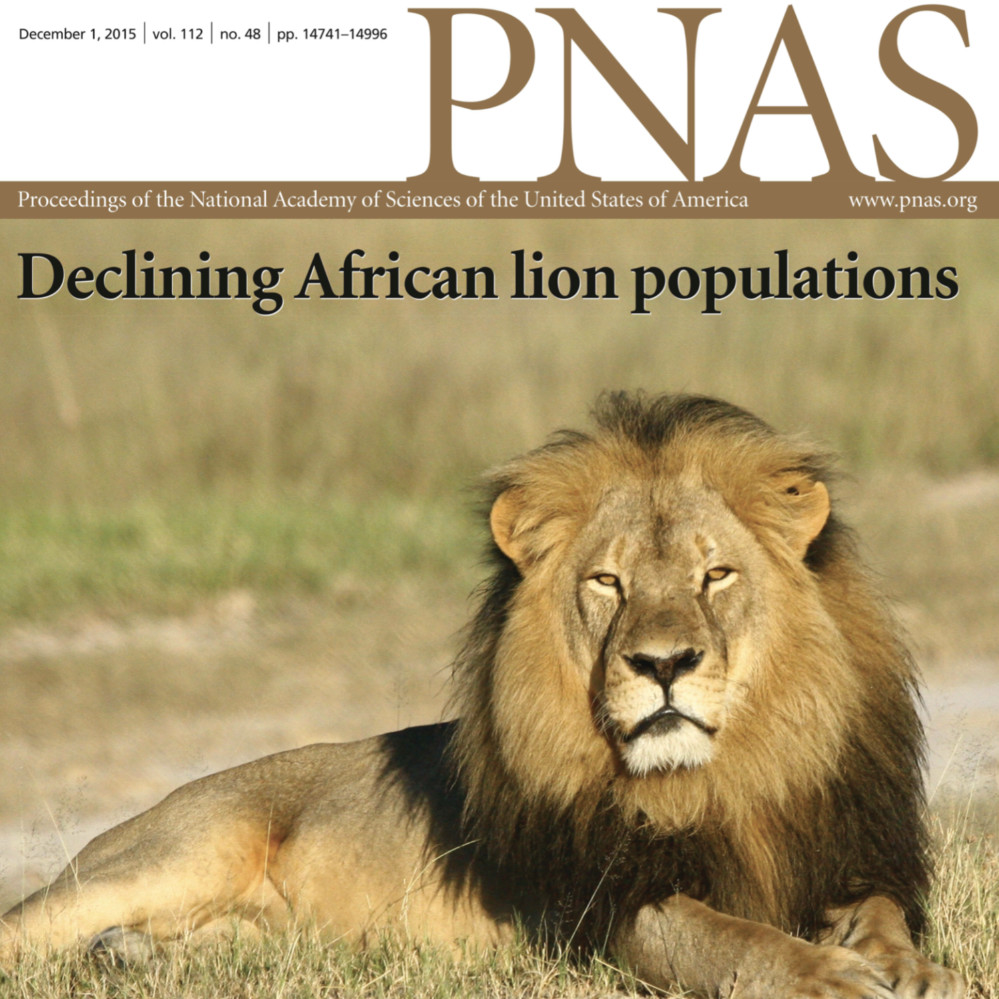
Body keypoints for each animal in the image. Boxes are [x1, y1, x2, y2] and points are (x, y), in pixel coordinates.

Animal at [1, 393, 965, 998]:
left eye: (714, 573)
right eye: (607, 581)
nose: (662, 663)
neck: (725, 774)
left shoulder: (841, 851)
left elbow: (881, 912)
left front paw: (911, 968)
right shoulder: (607, 906)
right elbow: (729, 935)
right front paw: (829, 976)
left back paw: (127, 959)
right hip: (173, 853)